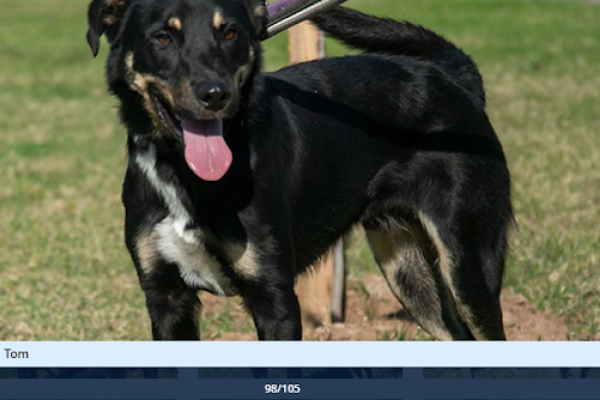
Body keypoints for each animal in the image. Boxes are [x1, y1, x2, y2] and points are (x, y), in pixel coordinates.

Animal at [88, 0, 510, 340]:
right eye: (162, 38)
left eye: (229, 32)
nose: (216, 94)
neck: (187, 177)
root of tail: (455, 79)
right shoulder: (166, 297)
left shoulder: (276, 298)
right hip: (408, 270)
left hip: (468, 263)